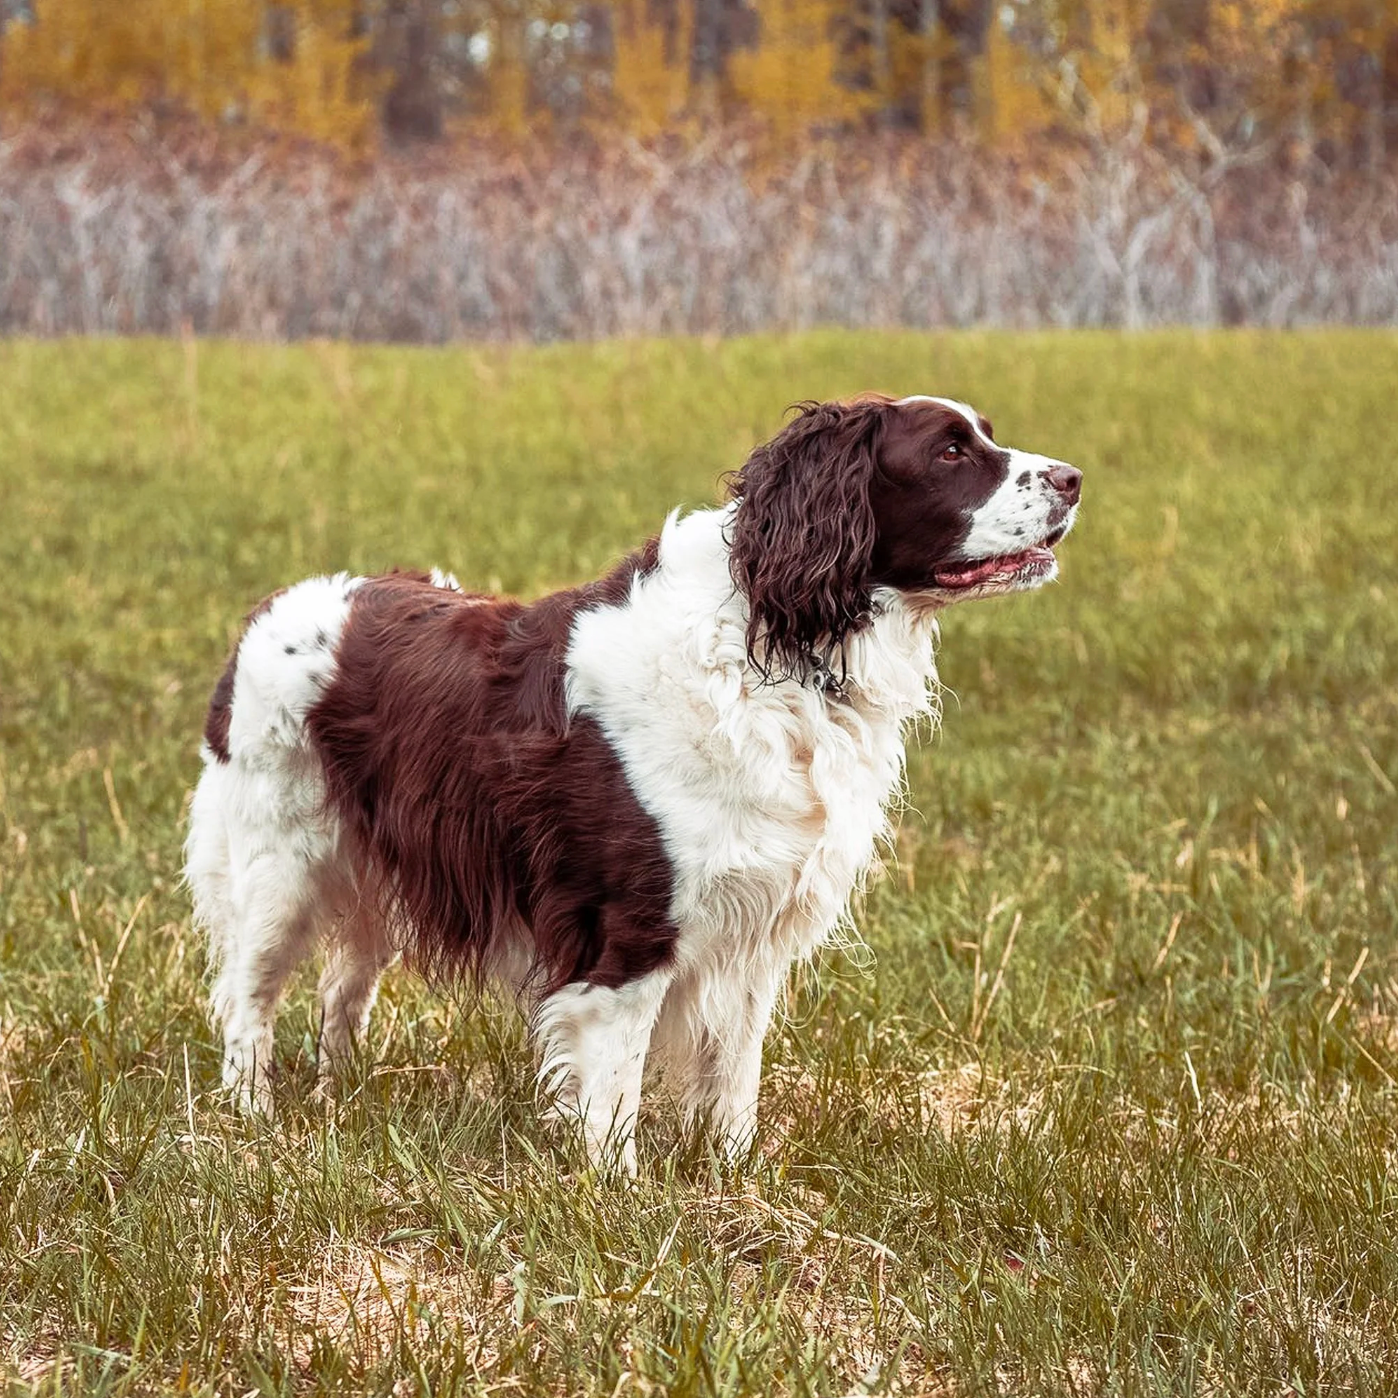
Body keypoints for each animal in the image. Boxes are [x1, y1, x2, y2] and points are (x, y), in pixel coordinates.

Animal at [185, 394, 1080, 1172]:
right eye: (950, 451)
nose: (1074, 478)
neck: (775, 653)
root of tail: (270, 609)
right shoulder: (627, 934)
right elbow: (614, 1089)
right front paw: (616, 1194)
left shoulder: (753, 934)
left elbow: (733, 1082)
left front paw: (733, 1180)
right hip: (277, 869)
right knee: (248, 998)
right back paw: (253, 1114)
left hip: (377, 866)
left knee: (342, 990)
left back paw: (339, 1096)